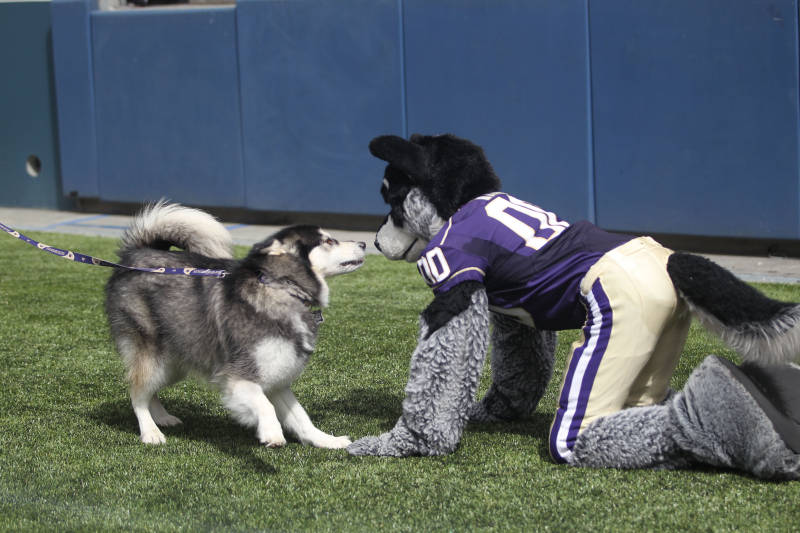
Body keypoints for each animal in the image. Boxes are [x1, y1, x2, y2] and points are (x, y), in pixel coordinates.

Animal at [106, 202, 366, 446]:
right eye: (329, 240)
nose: (364, 243)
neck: (283, 289)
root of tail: (135, 255)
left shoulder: (277, 378)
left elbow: (302, 417)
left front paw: (327, 440)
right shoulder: (238, 376)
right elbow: (265, 405)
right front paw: (271, 432)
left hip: (176, 362)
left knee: (150, 391)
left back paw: (162, 417)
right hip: (153, 355)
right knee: (137, 392)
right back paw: (150, 431)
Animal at [350, 132, 800, 478]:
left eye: (394, 201)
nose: (375, 242)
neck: (463, 202)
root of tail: (666, 259)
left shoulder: (454, 274)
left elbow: (442, 366)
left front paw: (405, 442)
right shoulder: (514, 316)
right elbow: (521, 357)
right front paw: (497, 410)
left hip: (624, 321)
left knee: (579, 434)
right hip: (658, 338)